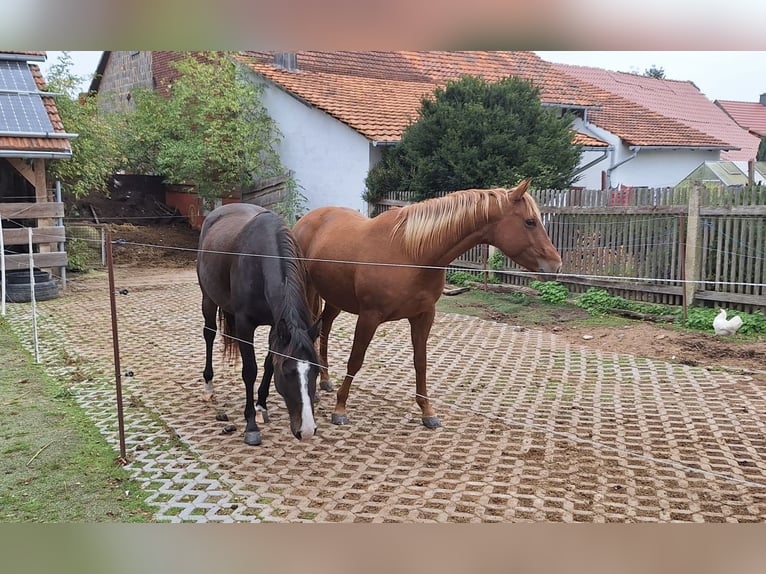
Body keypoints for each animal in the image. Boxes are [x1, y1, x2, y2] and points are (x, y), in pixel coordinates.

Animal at [196, 203, 321, 446]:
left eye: (317, 371)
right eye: (288, 373)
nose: (307, 430)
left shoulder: (277, 325)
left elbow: (269, 363)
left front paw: (261, 404)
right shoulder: (245, 325)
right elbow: (250, 370)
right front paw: (251, 425)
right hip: (208, 298)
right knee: (209, 334)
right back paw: (208, 386)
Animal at [292, 179, 562, 429]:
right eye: (530, 221)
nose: (556, 266)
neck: (412, 253)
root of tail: (305, 220)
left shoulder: (423, 316)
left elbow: (420, 362)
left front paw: (427, 412)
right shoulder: (369, 317)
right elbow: (355, 360)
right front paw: (340, 408)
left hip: (335, 298)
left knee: (324, 328)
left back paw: (325, 379)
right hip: (309, 291)